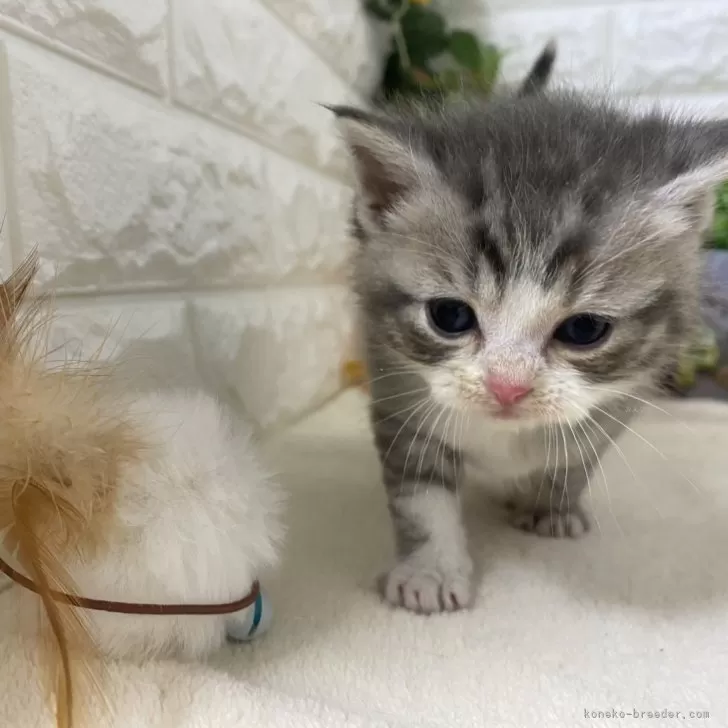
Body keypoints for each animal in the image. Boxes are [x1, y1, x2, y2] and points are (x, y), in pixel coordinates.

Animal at [334, 89, 728, 616]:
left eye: (585, 329)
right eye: (449, 316)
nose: (508, 386)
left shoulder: (615, 407)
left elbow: (576, 459)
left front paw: (551, 505)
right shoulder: (399, 394)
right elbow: (421, 495)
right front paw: (430, 571)